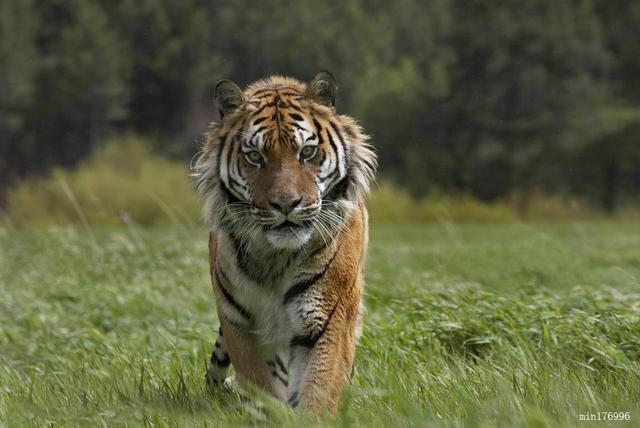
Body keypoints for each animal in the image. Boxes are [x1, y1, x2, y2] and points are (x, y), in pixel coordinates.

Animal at [192, 71, 376, 416]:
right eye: (255, 157)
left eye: (307, 152)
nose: (286, 204)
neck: (275, 257)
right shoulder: (243, 324)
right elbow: (263, 388)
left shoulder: (327, 320)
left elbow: (319, 388)